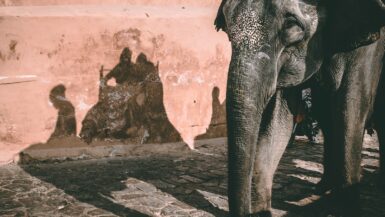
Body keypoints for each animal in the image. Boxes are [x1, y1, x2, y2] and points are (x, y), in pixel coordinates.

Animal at [214, 0, 384, 216]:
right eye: (227, 27)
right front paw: (263, 211)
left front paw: (349, 208)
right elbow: (278, 121)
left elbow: (350, 109)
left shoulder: (369, 46)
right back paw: (323, 188)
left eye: (291, 25)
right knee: (326, 117)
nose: (249, 211)